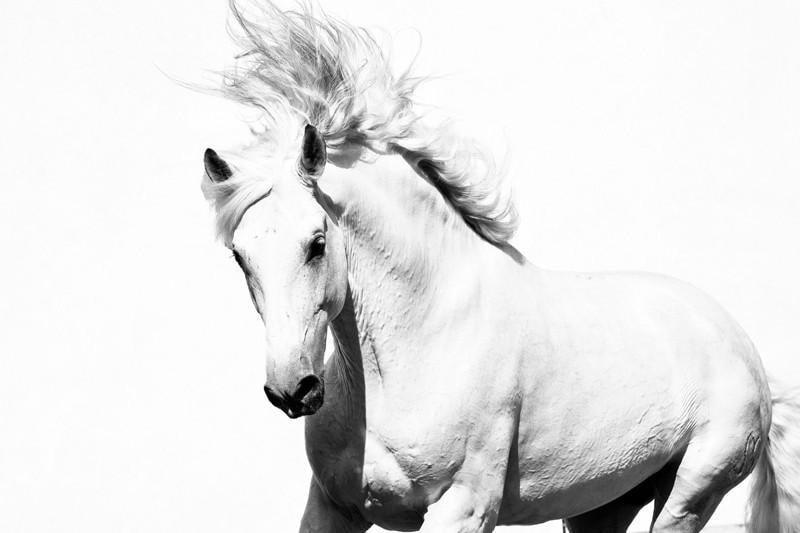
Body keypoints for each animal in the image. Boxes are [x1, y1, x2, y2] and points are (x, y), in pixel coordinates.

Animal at [201, 2, 800, 531]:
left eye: (317, 242)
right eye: (240, 255)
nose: (291, 390)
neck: (419, 343)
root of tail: (740, 343)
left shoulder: (463, 508)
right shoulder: (333, 508)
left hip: (690, 493)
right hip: (601, 505)